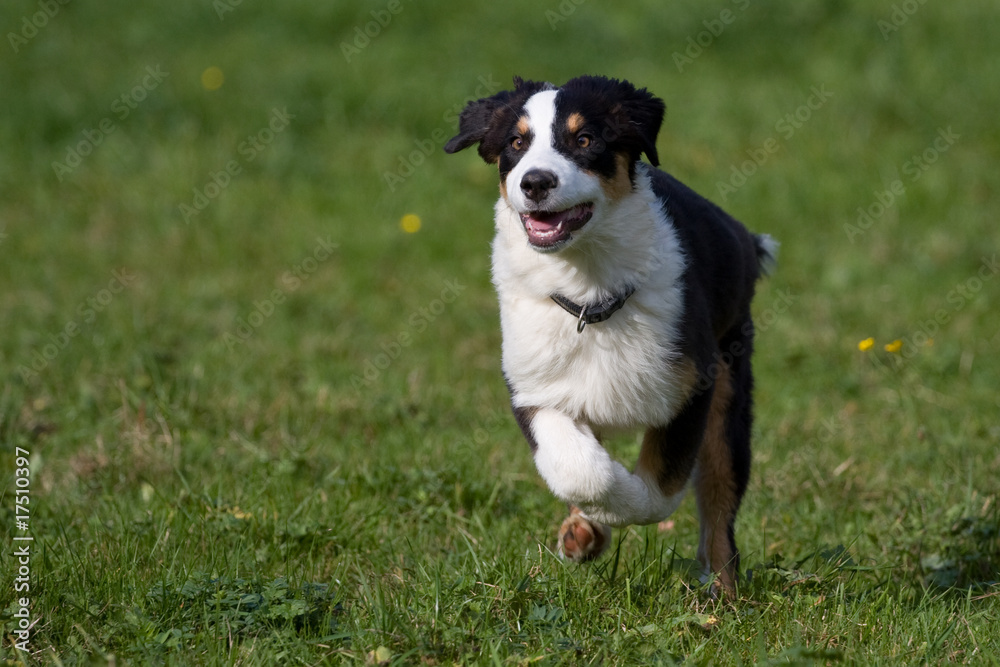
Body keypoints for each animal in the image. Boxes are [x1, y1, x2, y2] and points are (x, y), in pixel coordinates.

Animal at [446, 75, 780, 592]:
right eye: (516, 144)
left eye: (585, 140)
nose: (535, 182)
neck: (589, 293)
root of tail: (741, 237)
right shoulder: (534, 384)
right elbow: (577, 466)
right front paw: (587, 526)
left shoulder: (691, 383)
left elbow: (659, 489)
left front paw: (624, 504)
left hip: (731, 382)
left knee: (720, 501)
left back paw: (722, 595)